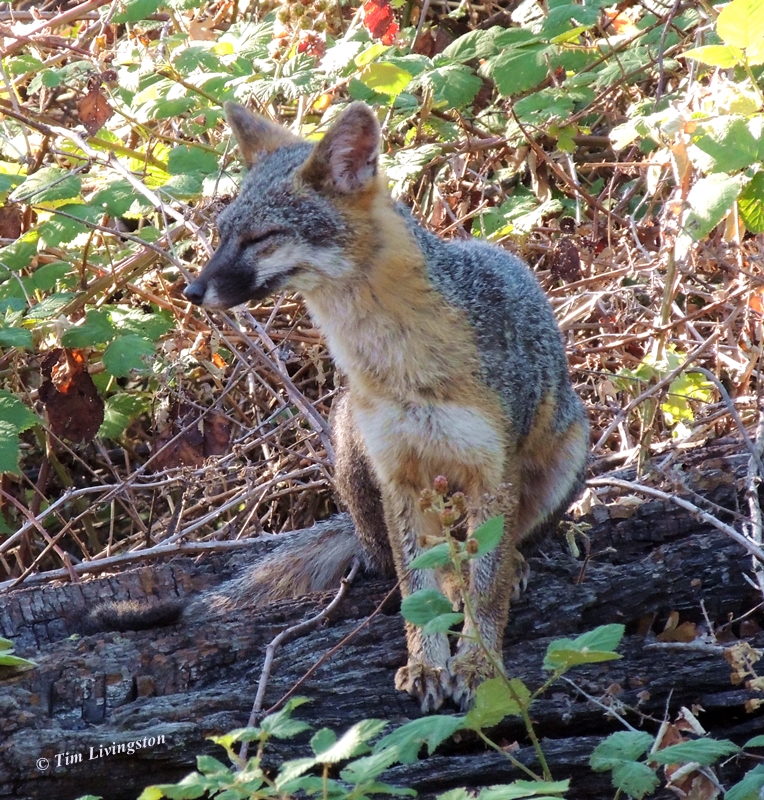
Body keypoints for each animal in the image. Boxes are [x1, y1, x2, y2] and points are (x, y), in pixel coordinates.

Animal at [176, 100, 589, 711]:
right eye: (222, 235)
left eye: (261, 238)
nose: (191, 291)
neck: (398, 363)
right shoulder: (397, 473)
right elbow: (415, 586)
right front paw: (427, 663)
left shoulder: (493, 471)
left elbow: (487, 586)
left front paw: (478, 664)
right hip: (353, 443)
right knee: (406, 558)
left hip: (564, 457)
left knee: (496, 547)